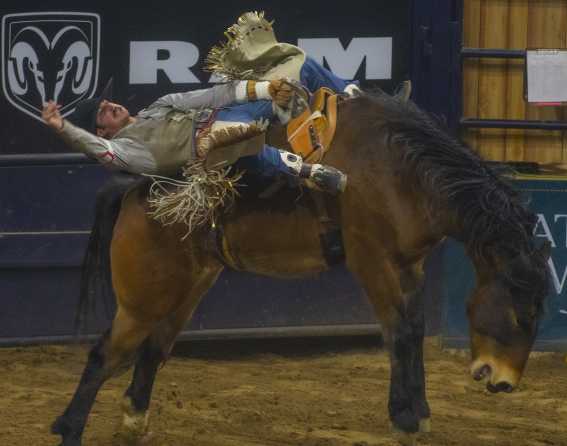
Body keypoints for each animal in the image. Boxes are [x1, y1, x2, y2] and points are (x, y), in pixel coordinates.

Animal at [52, 92, 552, 444]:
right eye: (521, 312)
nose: (503, 383)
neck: (400, 170)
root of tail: (138, 193)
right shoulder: (372, 261)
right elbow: (398, 333)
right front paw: (405, 418)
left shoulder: (410, 266)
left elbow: (413, 328)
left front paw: (420, 412)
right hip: (143, 297)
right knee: (106, 354)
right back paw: (69, 428)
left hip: (188, 287)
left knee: (153, 350)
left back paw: (134, 421)